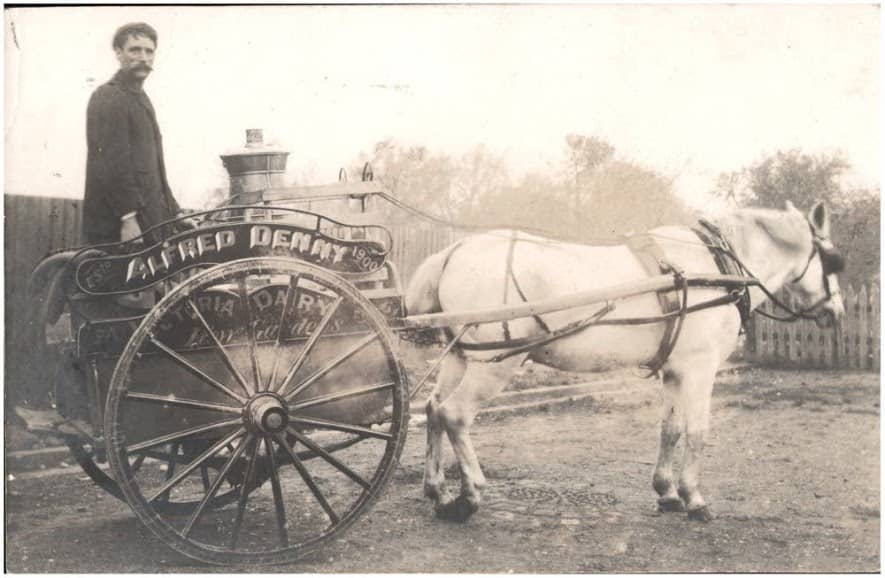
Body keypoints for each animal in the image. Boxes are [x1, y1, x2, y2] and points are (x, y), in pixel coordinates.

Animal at [404, 200, 848, 520]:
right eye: (832, 260)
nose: (837, 312)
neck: (716, 269)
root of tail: (456, 250)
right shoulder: (700, 370)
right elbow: (697, 433)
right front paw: (694, 498)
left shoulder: (675, 372)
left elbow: (670, 429)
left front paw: (667, 492)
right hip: (495, 363)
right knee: (456, 414)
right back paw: (470, 495)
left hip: (460, 356)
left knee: (434, 409)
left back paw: (437, 489)